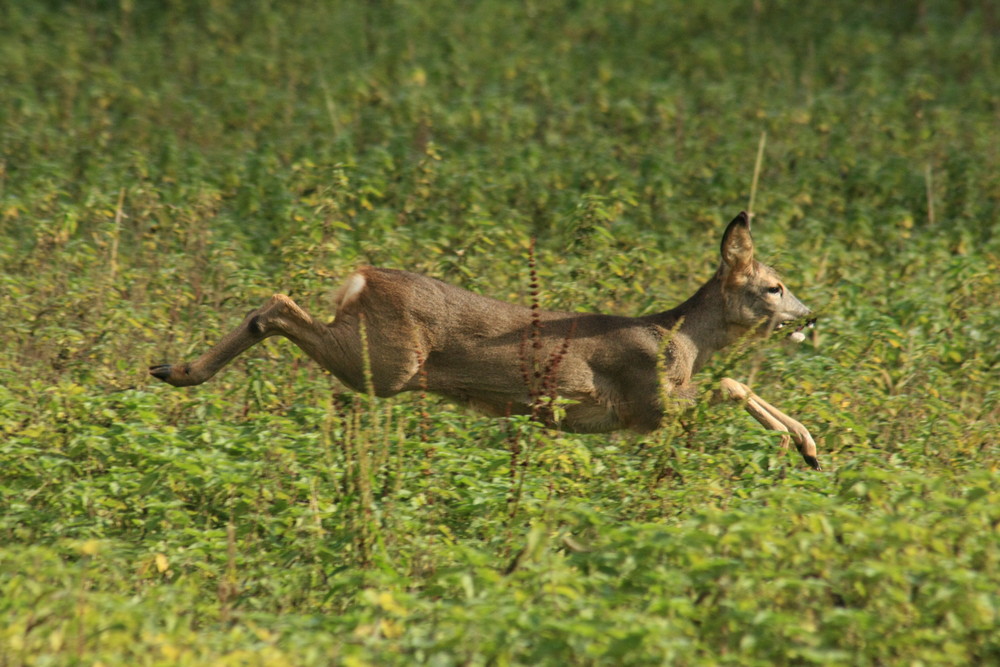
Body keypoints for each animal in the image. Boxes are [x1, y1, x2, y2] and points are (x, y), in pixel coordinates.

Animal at [148, 213, 820, 470]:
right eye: (774, 286)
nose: (811, 315)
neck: (684, 340)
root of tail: (363, 279)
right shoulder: (647, 403)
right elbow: (730, 381)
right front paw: (805, 444)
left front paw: (808, 448)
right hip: (387, 364)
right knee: (279, 305)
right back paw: (181, 371)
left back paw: (170, 368)